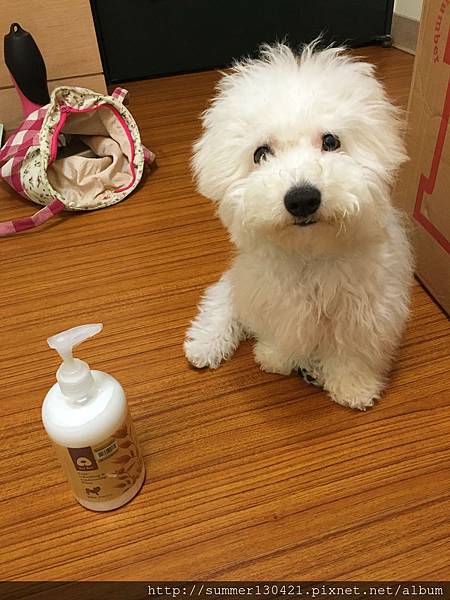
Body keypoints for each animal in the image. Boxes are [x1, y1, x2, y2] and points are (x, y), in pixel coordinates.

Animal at [184, 42, 413, 410]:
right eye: (261, 153)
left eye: (331, 141)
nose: (302, 198)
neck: (310, 254)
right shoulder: (277, 303)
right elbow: (279, 336)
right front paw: (275, 358)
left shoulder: (366, 312)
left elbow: (352, 354)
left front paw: (353, 387)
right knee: (223, 300)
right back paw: (205, 344)